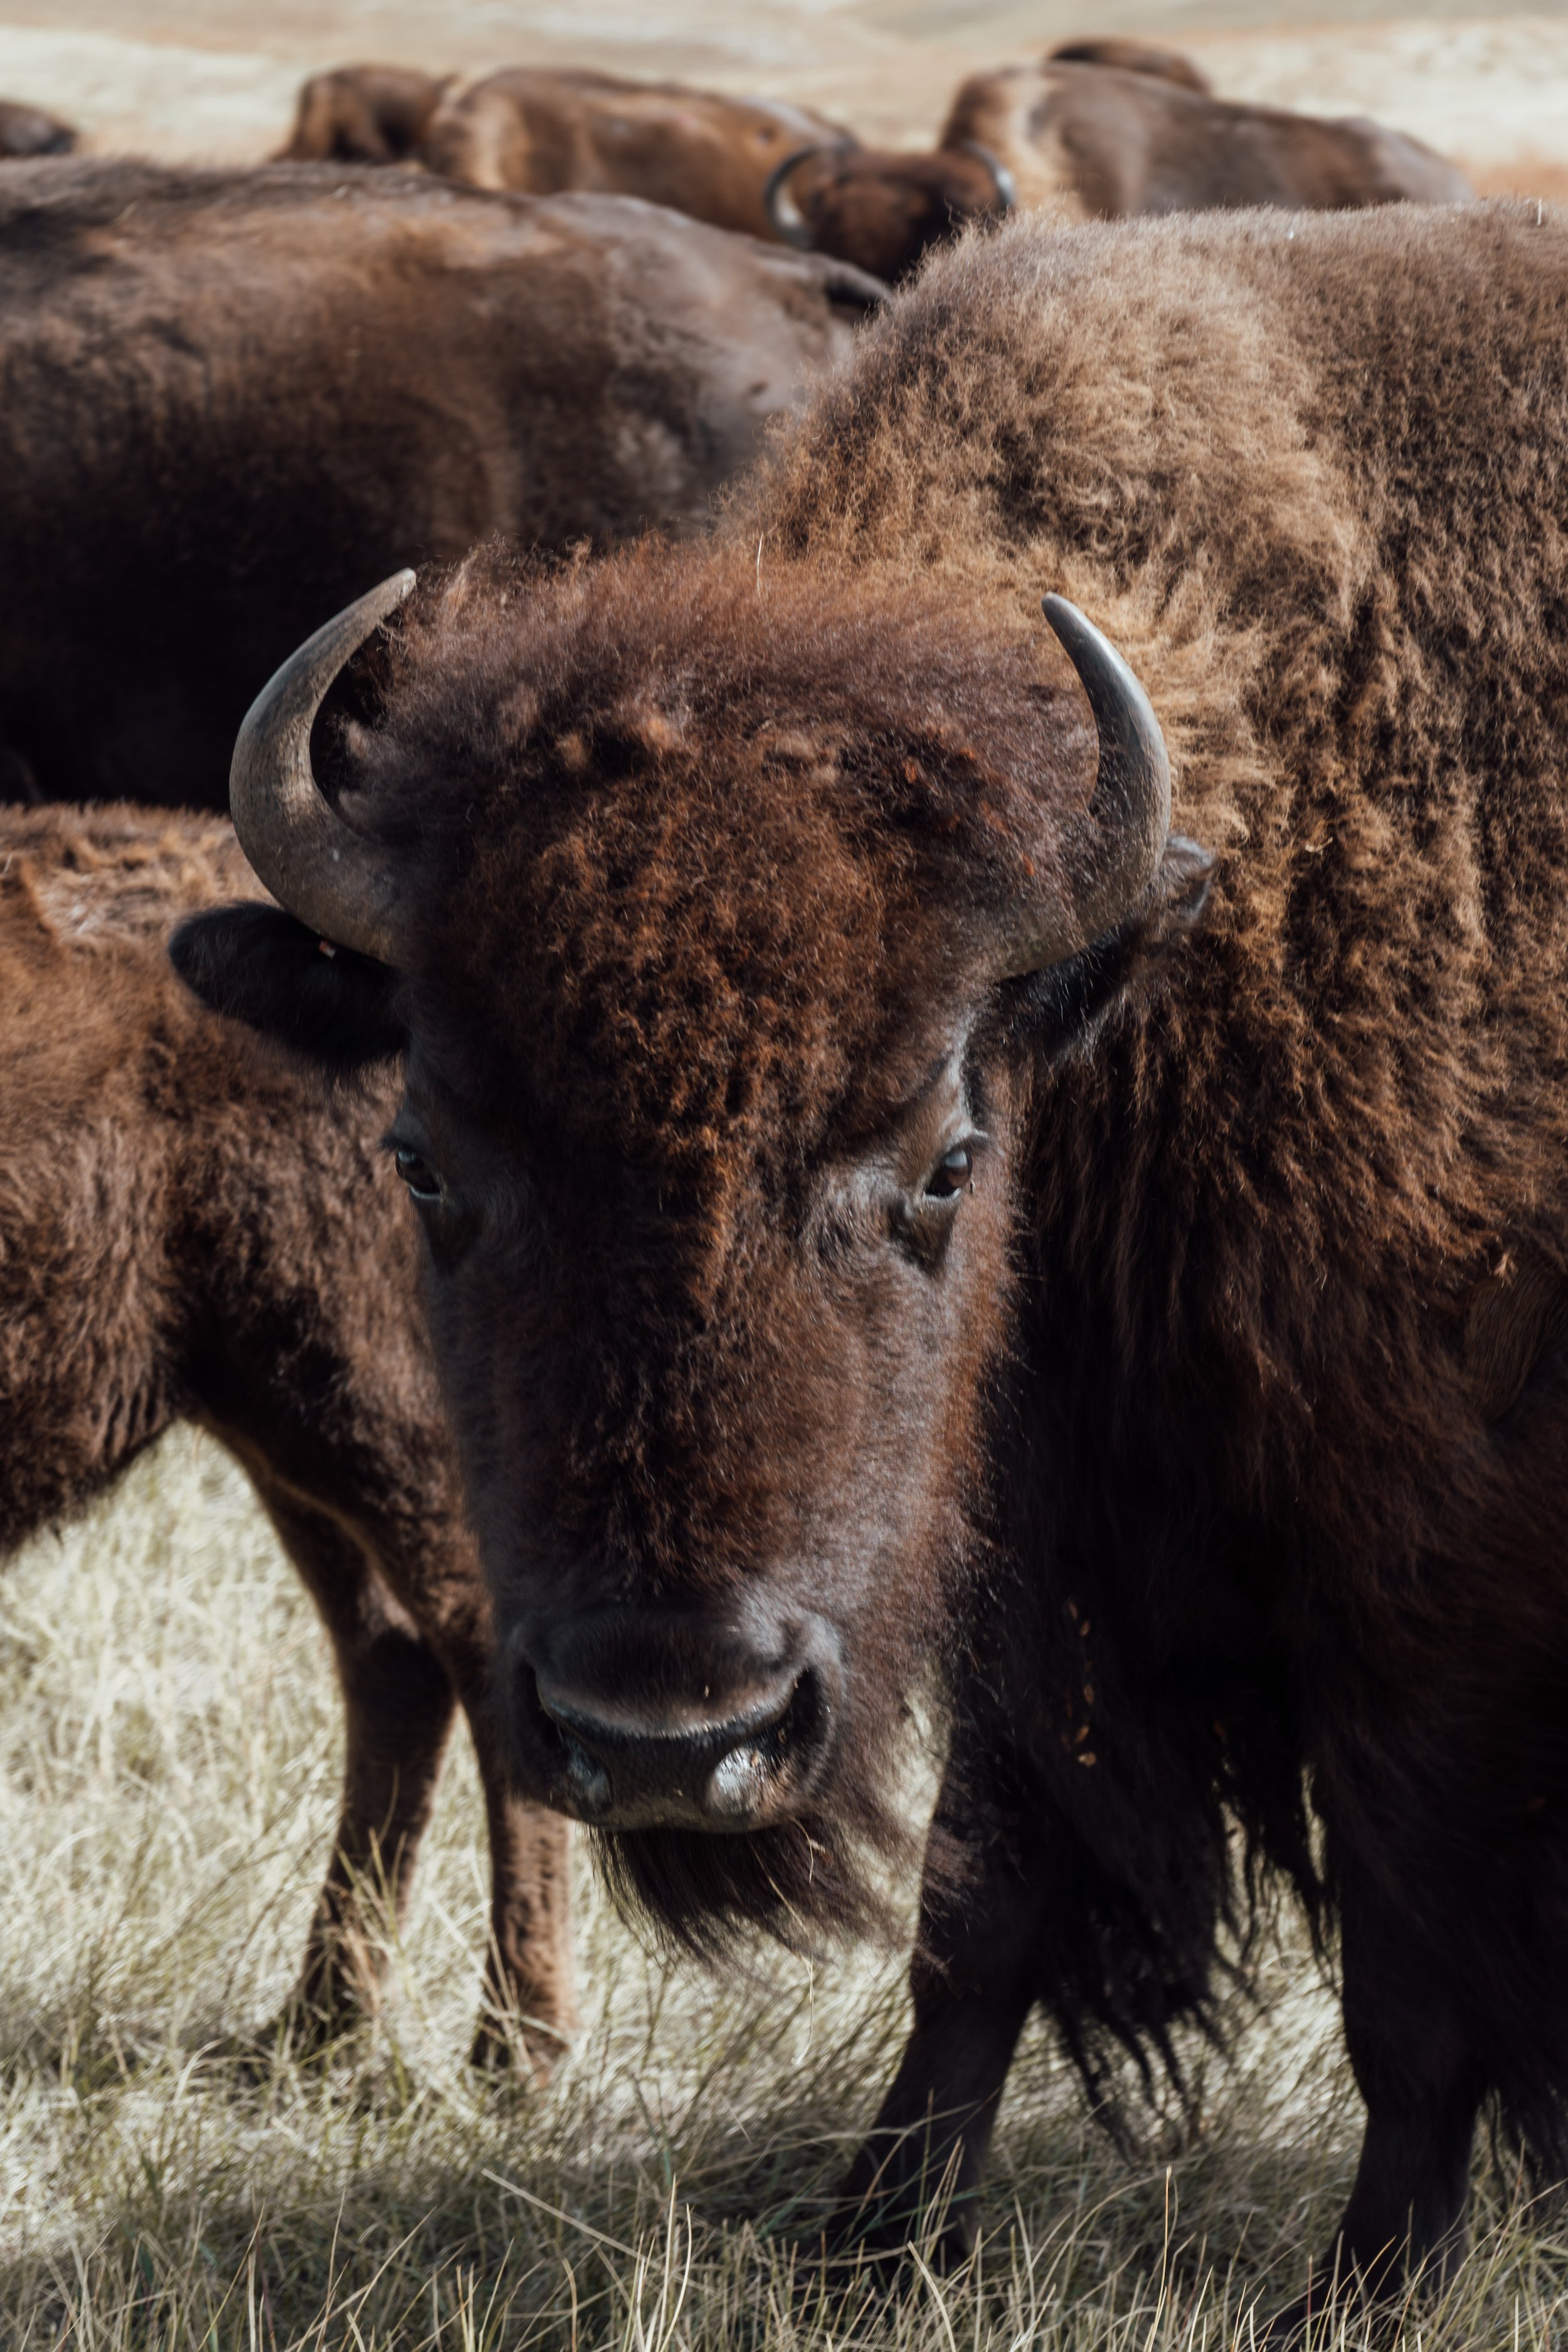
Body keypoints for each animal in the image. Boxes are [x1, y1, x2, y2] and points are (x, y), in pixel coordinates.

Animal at [1, 809, 576, 2079]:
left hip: (376, 1404)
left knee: (475, 1658)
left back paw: (516, 2054)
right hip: (282, 1427)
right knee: (394, 1662)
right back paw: (318, 2027)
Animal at [171, 198, 1568, 2314]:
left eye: (939, 1160)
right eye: (419, 1159)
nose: (669, 1728)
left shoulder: (1417, 1599)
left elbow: (1410, 1988)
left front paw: (1367, 2289)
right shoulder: (1015, 1562)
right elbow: (972, 1921)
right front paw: (870, 2240)